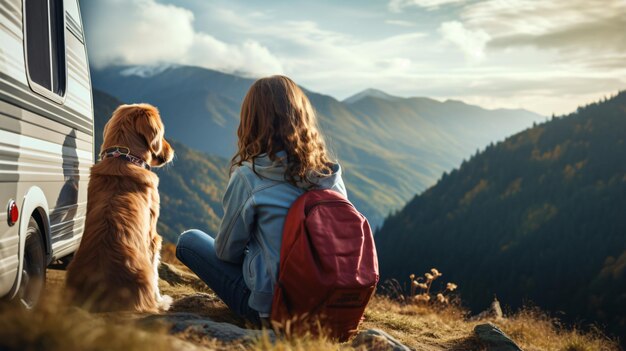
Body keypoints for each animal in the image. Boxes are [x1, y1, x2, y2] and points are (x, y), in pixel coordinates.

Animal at [66, 103, 173, 312]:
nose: (171, 150)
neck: (123, 158)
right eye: (163, 132)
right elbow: (156, 270)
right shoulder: (153, 236)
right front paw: (160, 299)